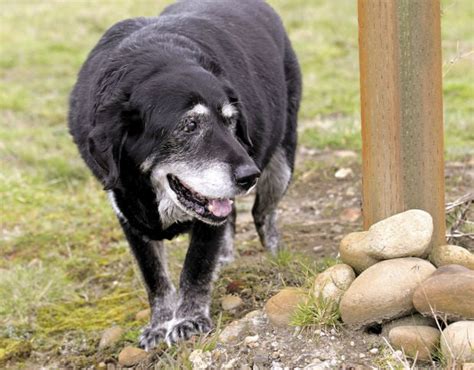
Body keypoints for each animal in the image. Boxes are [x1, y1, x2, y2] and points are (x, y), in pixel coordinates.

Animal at [67, 0, 300, 348]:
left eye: (231, 120)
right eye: (190, 125)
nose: (249, 175)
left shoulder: (208, 220)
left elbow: (196, 265)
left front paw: (189, 319)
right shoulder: (127, 214)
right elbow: (154, 276)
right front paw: (159, 323)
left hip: (282, 162)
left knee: (263, 215)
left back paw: (274, 255)